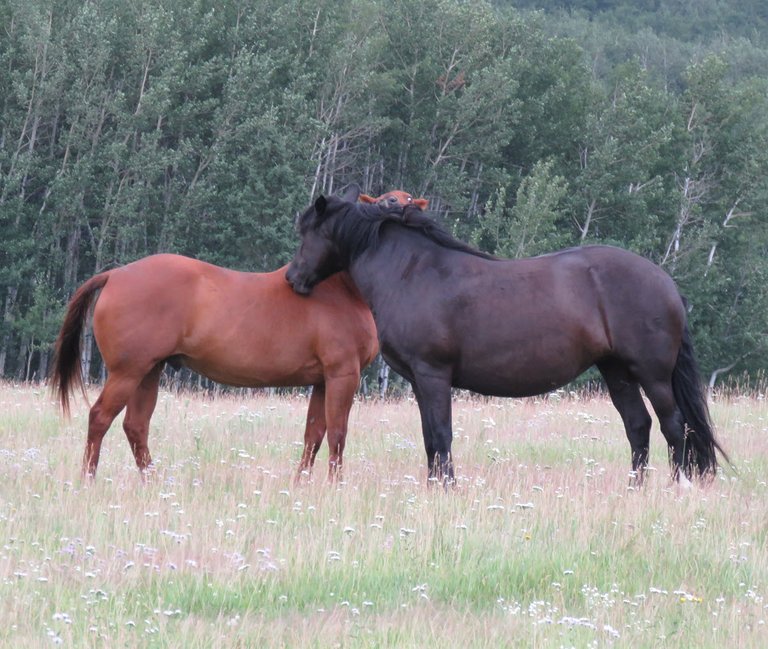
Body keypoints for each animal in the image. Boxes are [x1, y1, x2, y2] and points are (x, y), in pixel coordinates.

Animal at [52, 189, 426, 480]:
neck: (336, 289)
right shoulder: (342, 375)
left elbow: (314, 435)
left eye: (411, 201)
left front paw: (300, 485)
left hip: (149, 371)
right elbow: (337, 434)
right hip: (127, 372)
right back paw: (88, 479)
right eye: (389, 201)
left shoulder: (322, 381)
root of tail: (115, 274)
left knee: (135, 426)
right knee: (100, 418)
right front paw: (335, 486)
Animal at [286, 185, 728, 484]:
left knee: (675, 427)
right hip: (616, 370)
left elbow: (441, 435)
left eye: (307, 232)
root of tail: (665, 282)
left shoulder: (433, 375)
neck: (412, 271)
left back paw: (675, 488)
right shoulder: (419, 381)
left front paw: (446, 490)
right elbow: (430, 438)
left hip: (653, 375)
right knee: (638, 427)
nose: (293, 279)